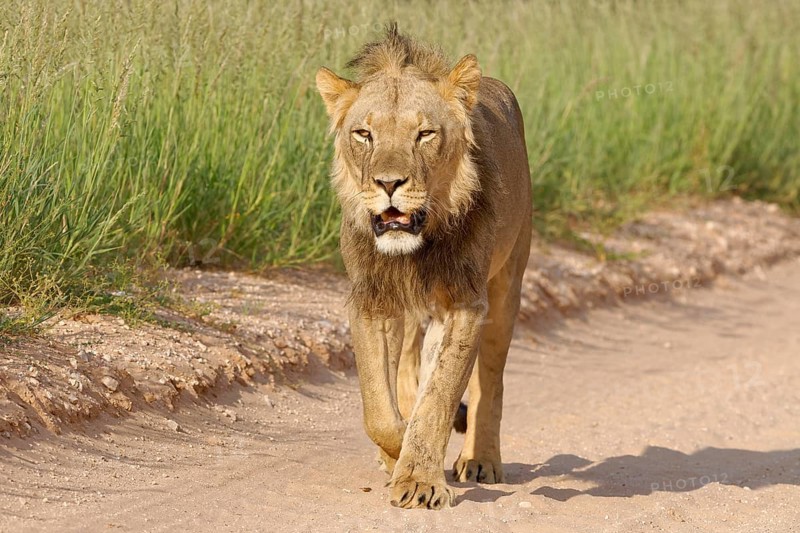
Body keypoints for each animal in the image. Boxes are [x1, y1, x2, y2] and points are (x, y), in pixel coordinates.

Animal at [316, 24, 531, 509]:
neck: (413, 252)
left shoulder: (464, 305)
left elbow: (438, 398)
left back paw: (480, 460)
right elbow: (379, 408)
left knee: (490, 380)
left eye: (425, 134)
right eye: (364, 134)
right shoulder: (373, 302)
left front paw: (418, 480)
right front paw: (395, 455)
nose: (389, 183)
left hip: (508, 286)